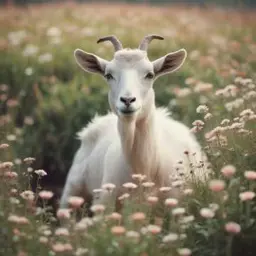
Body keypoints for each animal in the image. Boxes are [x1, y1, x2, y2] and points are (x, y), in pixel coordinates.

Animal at [59, 34, 208, 209]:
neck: (143, 169)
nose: (128, 100)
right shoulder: (104, 203)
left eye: (150, 74)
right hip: (72, 191)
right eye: (108, 75)